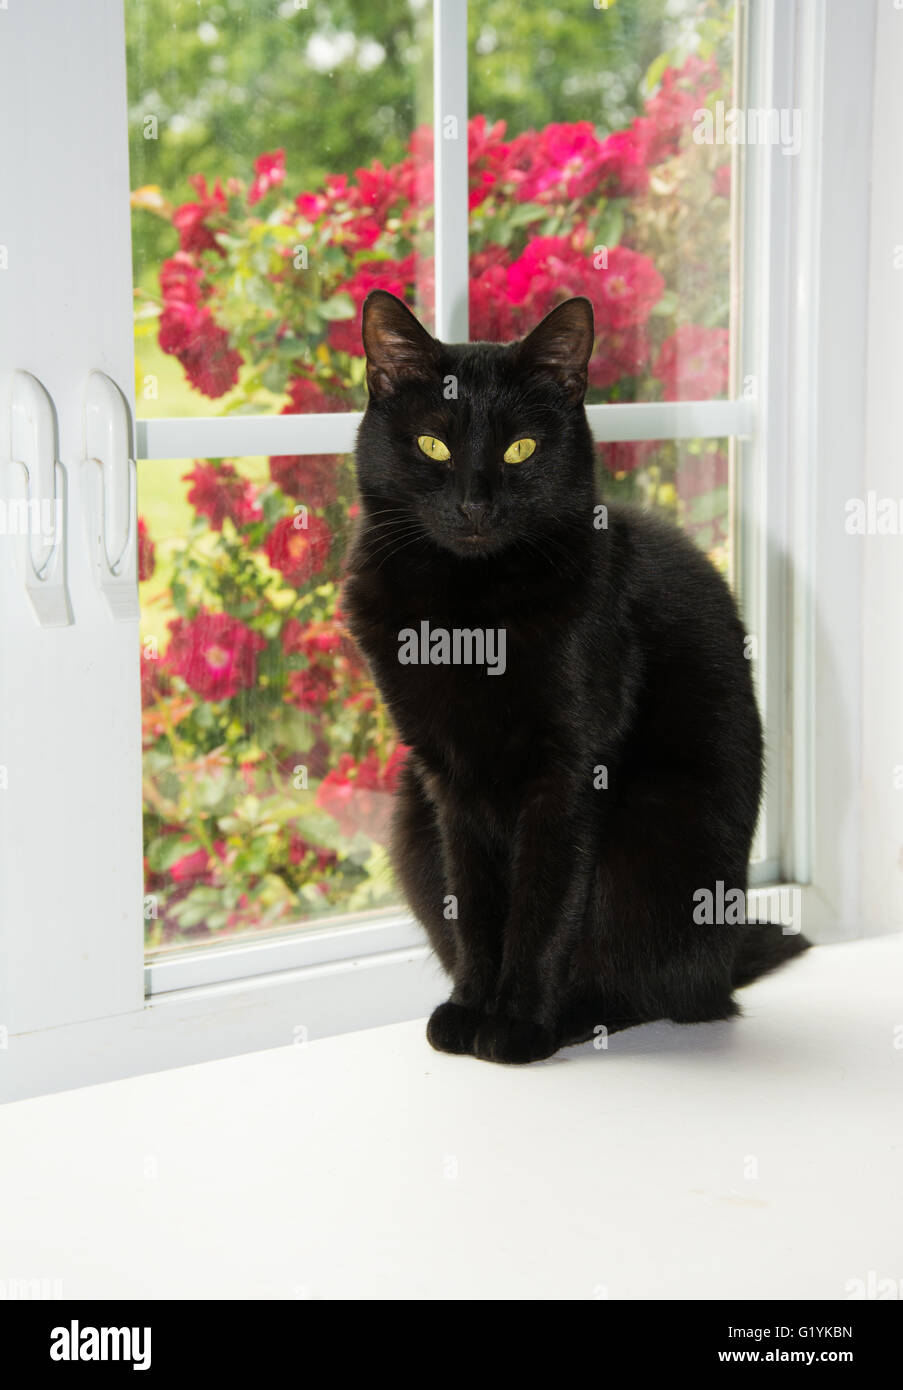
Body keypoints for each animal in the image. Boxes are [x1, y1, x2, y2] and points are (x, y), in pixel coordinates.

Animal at [341, 287, 805, 1056]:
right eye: (433, 444)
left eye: (520, 448)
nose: (474, 503)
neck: (469, 612)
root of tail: (729, 952)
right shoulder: (446, 779)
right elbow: (474, 901)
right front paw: (471, 1007)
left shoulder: (570, 770)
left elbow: (543, 907)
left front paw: (516, 1024)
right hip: (411, 816)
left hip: (651, 828)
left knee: (666, 988)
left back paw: (576, 1018)